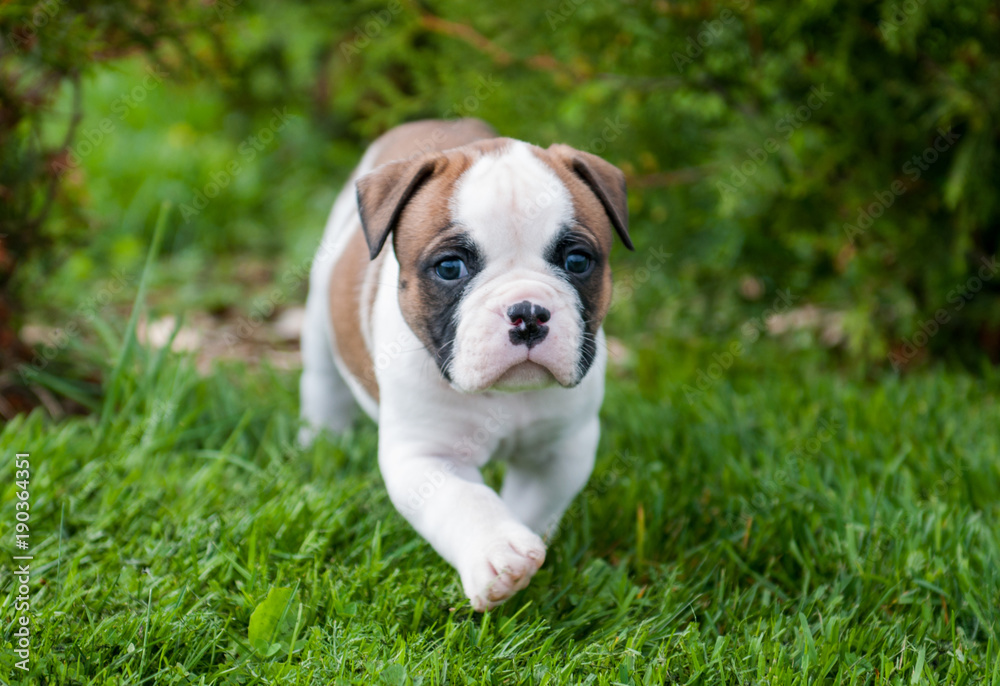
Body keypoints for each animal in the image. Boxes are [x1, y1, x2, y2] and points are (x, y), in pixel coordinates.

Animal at [296, 118, 636, 612]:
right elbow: (465, 501)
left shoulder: (561, 449)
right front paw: (498, 552)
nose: (528, 313)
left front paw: (522, 550)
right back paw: (320, 440)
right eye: (450, 268)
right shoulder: (426, 456)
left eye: (577, 261)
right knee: (322, 382)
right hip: (320, 315)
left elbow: (531, 504)